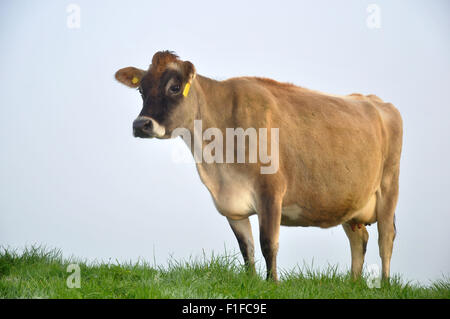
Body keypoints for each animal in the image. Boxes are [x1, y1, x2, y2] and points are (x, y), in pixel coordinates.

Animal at [114, 50, 402, 282]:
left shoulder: (271, 191)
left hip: (389, 187)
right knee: (359, 239)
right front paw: (251, 281)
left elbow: (268, 243)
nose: (141, 125)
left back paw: (385, 284)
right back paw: (353, 284)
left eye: (174, 87)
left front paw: (271, 283)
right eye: (141, 89)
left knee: (385, 238)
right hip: (349, 201)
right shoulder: (232, 204)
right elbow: (247, 248)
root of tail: (377, 101)